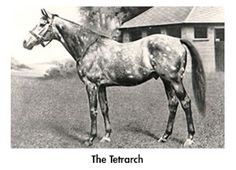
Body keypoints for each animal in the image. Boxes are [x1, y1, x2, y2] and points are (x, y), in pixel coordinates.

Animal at [23, 8, 206, 146]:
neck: (88, 46)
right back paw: (164, 136)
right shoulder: (101, 86)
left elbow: (93, 110)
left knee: (185, 102)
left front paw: (90, 139)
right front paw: (106, 136)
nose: (25, 42)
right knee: (173, 104)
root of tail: (178, 40)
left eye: (41, 24)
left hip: (174, 80)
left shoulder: (91, 85)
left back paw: (189, 138)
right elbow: (105, 109)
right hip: (165, 80)